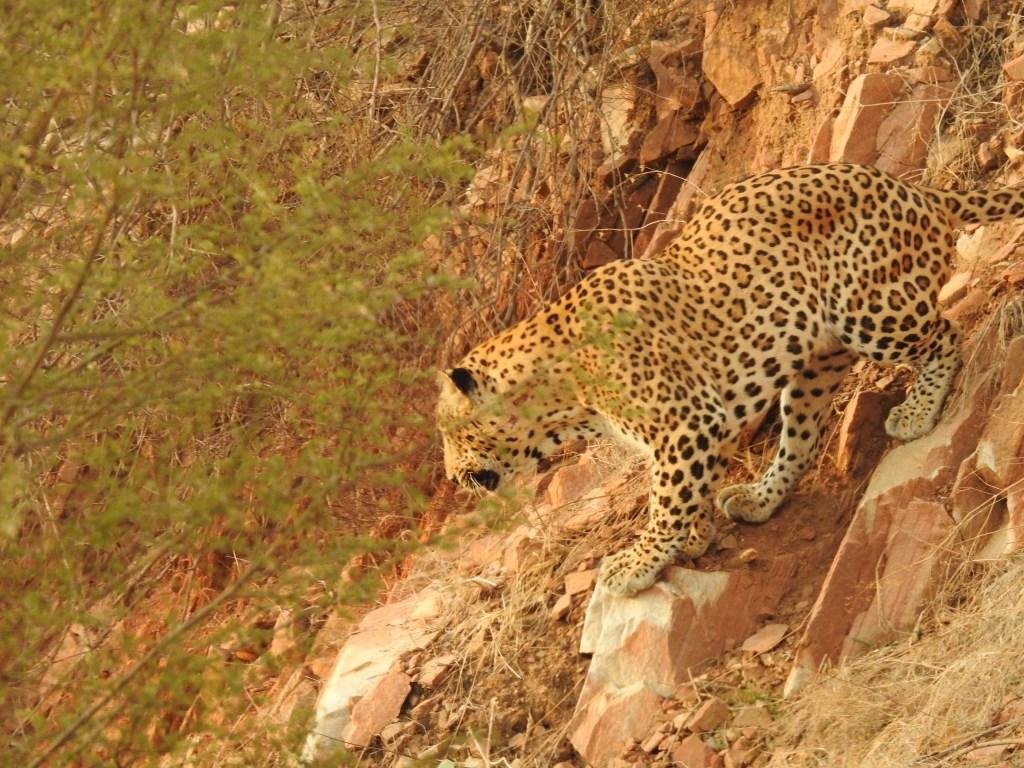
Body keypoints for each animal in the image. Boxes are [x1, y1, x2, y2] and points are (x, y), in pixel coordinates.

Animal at [435, 163, 1024, 597]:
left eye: (451, 432)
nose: (451, 478)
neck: (565, 396)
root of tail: (917, 190)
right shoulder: (692, 432)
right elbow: (682, 492)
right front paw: (692, 539)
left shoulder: (686, 423)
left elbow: (665, 499)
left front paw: (637, 563)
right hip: (815, 360)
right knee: (800, 440)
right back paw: (759, 498)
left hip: (871, 310)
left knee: (945, 334)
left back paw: (918, 412)